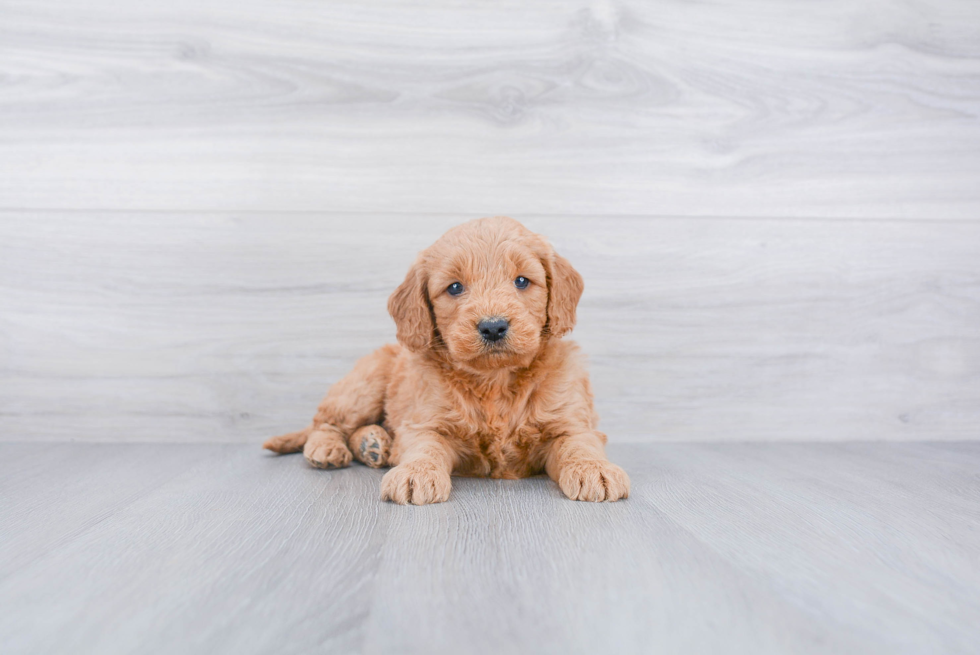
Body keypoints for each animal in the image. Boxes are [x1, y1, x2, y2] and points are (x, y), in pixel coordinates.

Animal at [262, 218, 628, 504]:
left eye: (523, 281)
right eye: (454, 288)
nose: (493, 326)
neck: (495, 383)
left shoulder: (570, 421)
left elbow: (579, 444)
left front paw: (595, 469)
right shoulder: (425, 422)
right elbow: (426, 447)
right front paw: (415, 473)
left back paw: (372, 444)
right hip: (363, 385)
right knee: (325, 423)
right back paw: (331, 448)